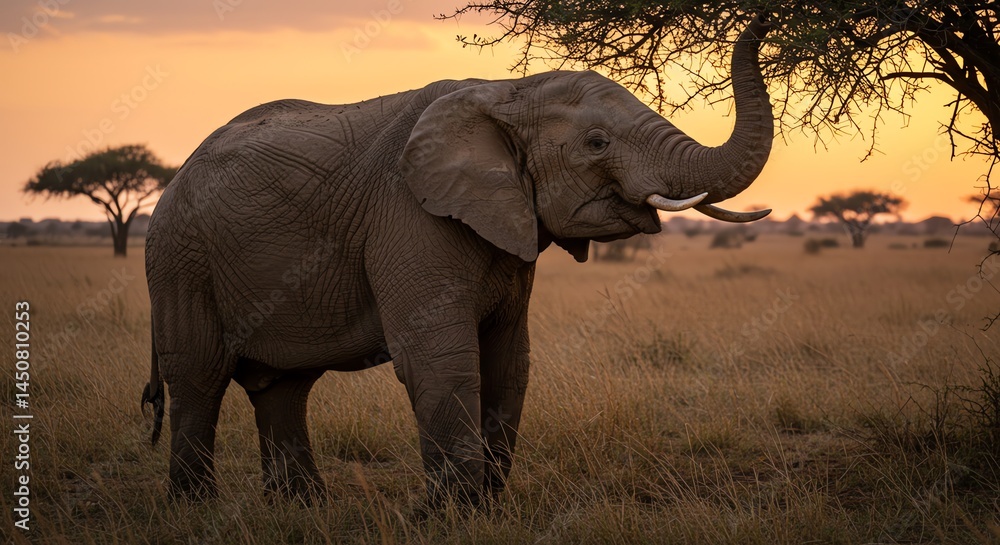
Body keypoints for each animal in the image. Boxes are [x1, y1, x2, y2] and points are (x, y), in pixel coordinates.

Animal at [140, 16, 775, 507]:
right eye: (596, 144)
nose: (767, 20)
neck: (507, 90)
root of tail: (174, 178)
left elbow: (509, 361)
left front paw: (488, 509)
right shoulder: (408, 215)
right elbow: (441, 359)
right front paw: (452, 516)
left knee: (283, 386)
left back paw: (303, 509)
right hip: (178, 258)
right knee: (198, 377)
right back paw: (197, 509)